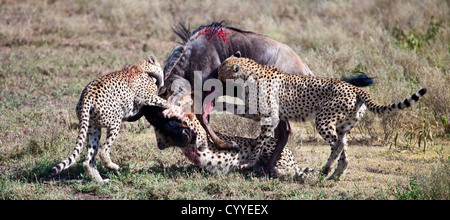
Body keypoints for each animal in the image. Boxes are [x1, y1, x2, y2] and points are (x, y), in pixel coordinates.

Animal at [52, 55, 185, 183]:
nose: (163, 83)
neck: (142, 68)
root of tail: (85, 96)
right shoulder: (148, 97)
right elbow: (164, 102)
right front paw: (176, 108)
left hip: (93, 129)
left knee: (88, 160)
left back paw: (101, 182)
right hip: (116, 120)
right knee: (103, 150)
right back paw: (112, 167)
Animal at [218, 53, 428, 180]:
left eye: (221, 72)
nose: (216, 77)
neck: (250, 74)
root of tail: (355, 88)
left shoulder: (271, 118)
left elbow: (260, 142)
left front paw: (249, 163)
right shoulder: (260, 113)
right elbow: (243, 112)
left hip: (324, 120)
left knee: (338, 145)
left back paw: (327, 169)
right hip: (344, 125)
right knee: (344, 150)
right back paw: (336, 174)